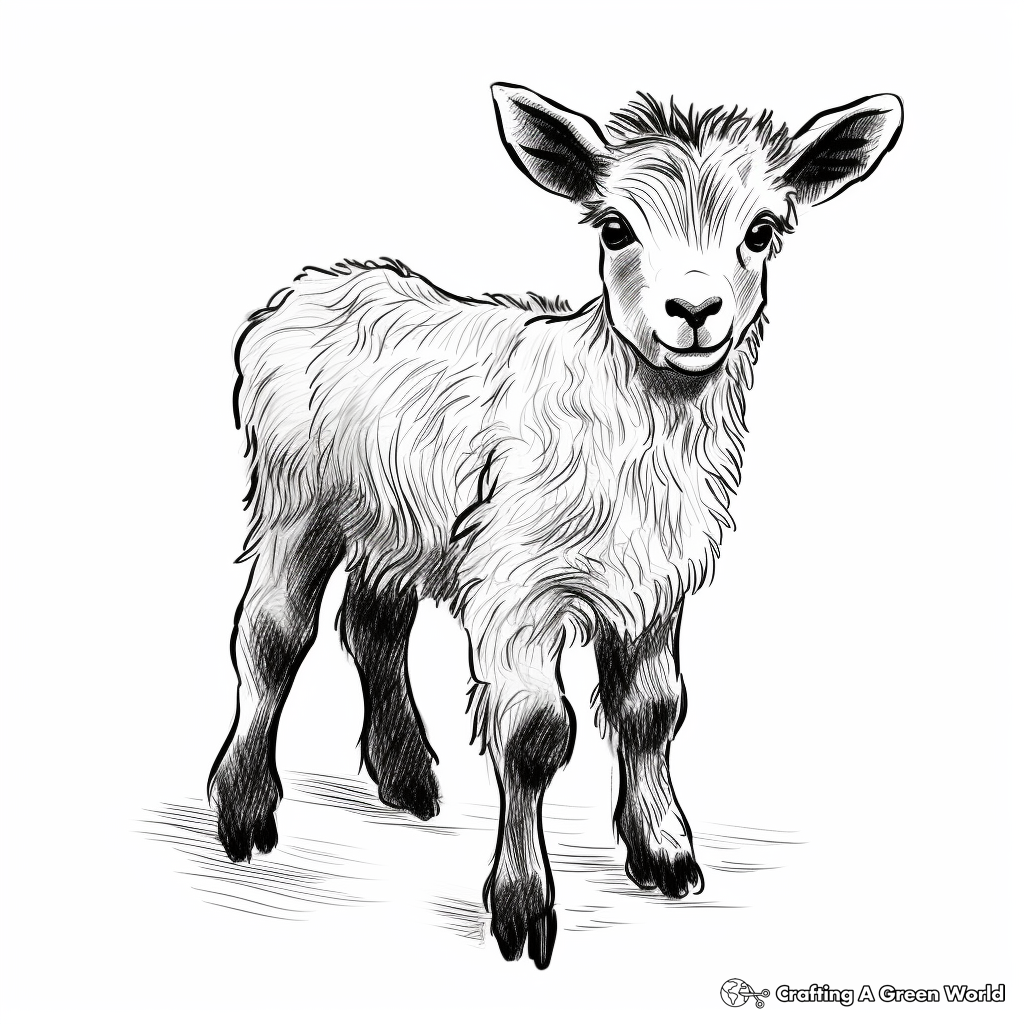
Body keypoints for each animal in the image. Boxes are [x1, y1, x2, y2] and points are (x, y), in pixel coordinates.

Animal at [209, 84, 902, 968]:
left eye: (761, 231)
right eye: (615, 228)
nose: (694, 311)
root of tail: (320, 284)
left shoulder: (653, 586)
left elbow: (654, 710)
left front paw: (665, 852)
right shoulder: (518, 587)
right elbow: (535, 736)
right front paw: (522, 905)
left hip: (402, 524)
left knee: (372, 622)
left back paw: (407, 778)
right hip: (297, 501)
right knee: (271, 635)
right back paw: (243, 811)